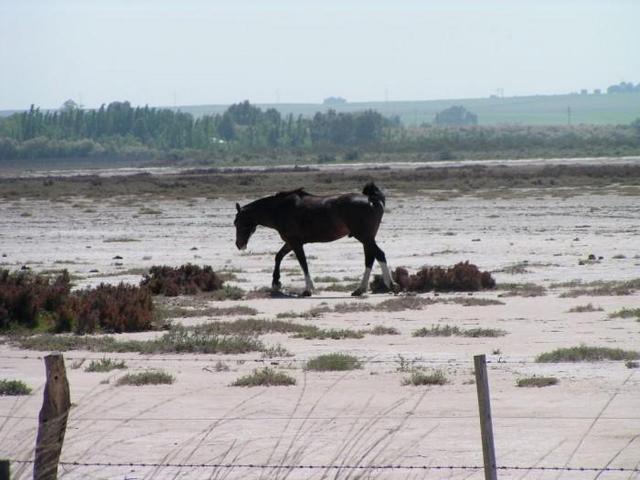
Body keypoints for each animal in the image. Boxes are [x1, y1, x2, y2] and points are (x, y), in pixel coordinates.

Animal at [235, 184, 396, 296]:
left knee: (379, 255)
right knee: (370, 258)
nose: (239, 245)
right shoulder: (291, 242)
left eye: (239, 223)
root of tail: (371, 199)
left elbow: (303, 263)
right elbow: (278, 256)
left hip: (364, 237)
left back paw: (391, 286)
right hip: (367, 238)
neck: (280, 210)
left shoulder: (296, 243)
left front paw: (308, 289)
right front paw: (276, 283)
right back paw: (360, 289)